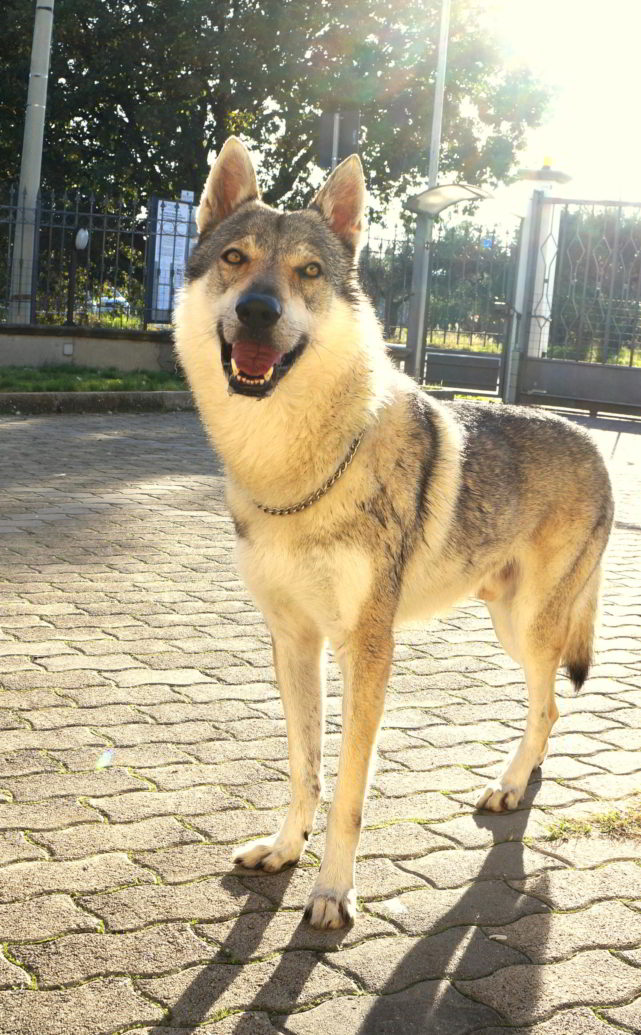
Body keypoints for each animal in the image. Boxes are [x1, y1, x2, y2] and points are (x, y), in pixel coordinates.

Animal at [174, 137, 614, 929]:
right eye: (234, 258)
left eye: (308, 272)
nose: (257, 310)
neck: (288, 470)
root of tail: (595, 444)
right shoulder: (293, 639)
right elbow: (304, 768)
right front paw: (284, 850)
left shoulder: (367, 648)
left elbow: (349, 789)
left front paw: (331, 891)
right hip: (509, 625)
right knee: (552, 706)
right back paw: (523, 775)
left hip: (530, 628)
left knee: (546, 702)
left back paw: (507, 785)